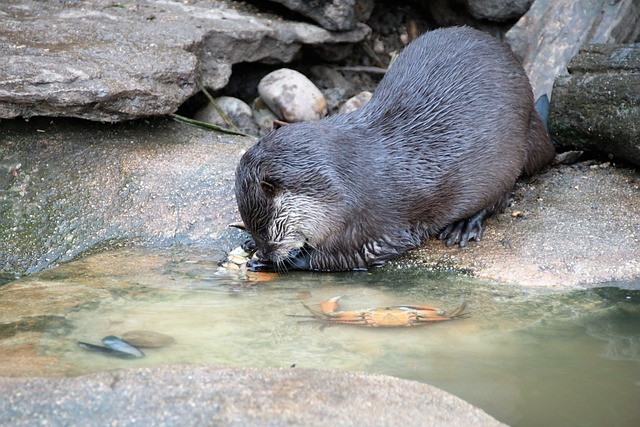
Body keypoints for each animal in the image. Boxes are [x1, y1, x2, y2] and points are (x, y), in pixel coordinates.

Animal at [235, 26, 556, 272]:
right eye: (257, 231)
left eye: (267, 231)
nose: (266, 251)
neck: (343, 186)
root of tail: (531, 110)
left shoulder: (374, 227)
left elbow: (344, 257)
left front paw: (277, 261)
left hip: (507, 157)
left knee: (500, 196)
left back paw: (464, 225)